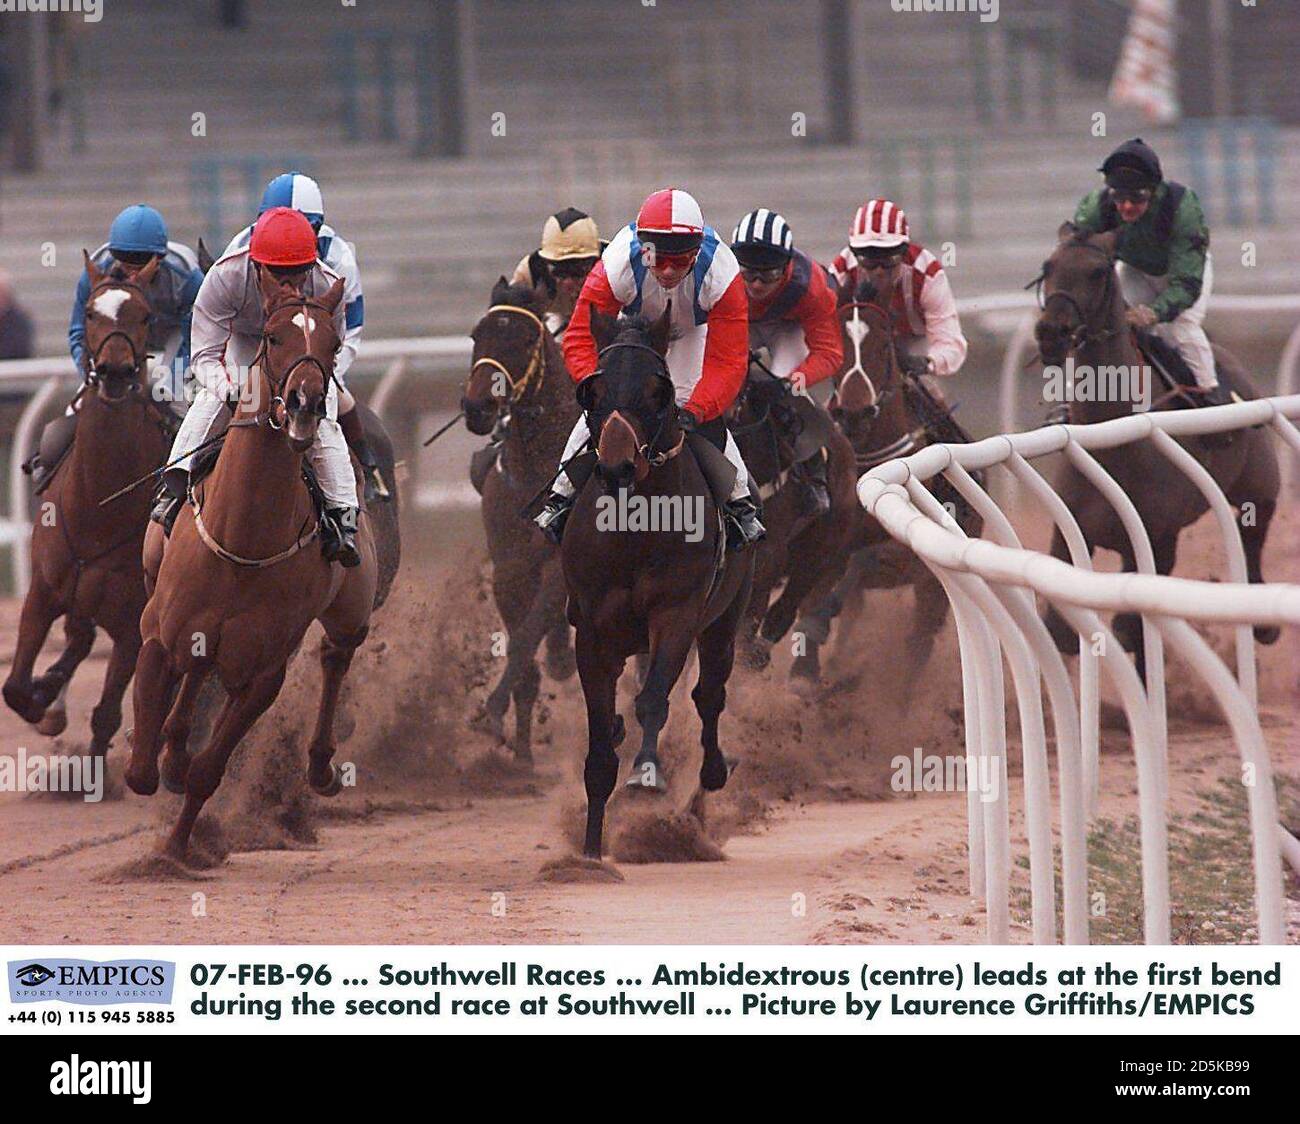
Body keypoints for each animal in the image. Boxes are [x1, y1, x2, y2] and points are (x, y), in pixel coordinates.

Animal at [3, 252, 176, 764]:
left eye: (145, 316)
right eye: (91, 312)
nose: (116, 372)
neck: (99, 507)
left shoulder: (134, 625)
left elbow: (106, 715)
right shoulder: (42, 592)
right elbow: (15, 688)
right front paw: (43, 696)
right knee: (78, 638)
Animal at [127, 270, 392, 857]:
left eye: (332, 344)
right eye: (274, 337)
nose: (305, 403)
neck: (243, 541)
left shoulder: (266, 671)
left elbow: (208, 770)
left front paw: (177, 849)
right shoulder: (159, 630)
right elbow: (141, 770)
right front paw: (164, 762)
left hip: (350, 607)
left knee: (337, 654)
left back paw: (320, 767)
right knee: (198, 670)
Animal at [561, 311, 759, 857]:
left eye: (658, 391)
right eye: (592, 390)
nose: (616, 466)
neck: (635, 527)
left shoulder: (677, 614)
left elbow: (654, 699)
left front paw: (646, 773)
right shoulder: (592, 630)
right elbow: (599, 748)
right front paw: (591, 851)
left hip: (723, 622)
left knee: (708, 695)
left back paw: (711, 773)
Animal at [1034, 223, 1279, 670]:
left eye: (1097, 271)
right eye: (1049, 266)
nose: (1050, 333)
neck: (1113, 445)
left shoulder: (1148, 542)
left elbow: (1133, 626)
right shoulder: (1072, 532)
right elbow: (1061, 629)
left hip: (1259, 484)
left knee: (1253, 535)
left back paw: (1264, 622)